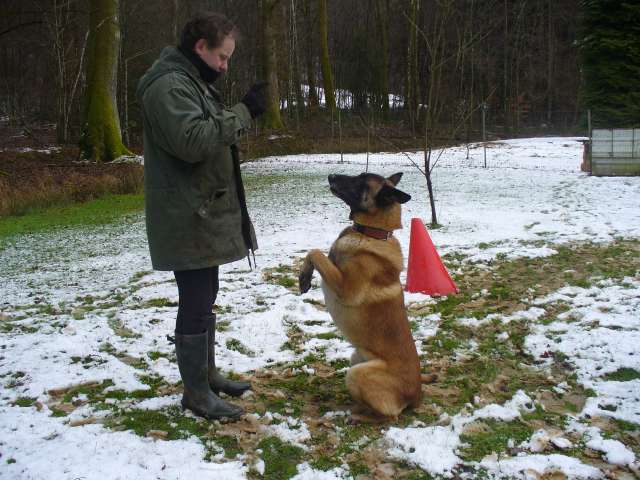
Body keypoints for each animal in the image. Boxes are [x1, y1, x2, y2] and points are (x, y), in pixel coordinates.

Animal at [298, 172, 424, 420]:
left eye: (361, 181)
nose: (331, 175)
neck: (371, 233)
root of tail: (416, 395)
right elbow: (314, 254)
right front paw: (304, 276)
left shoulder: (345, 287)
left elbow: (316, 253)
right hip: (356, 359)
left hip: (357, 373)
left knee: (389, 416)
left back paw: (356, 417)